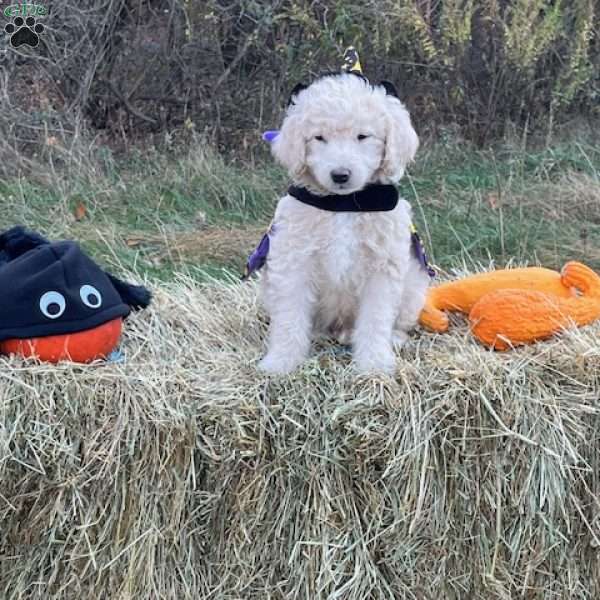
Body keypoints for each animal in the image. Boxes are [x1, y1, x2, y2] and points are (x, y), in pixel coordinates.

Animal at [260, 71, 428, 376]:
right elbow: (290, 317)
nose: (340, 175)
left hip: (414, 287)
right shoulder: (294, 263)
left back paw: (392, 339)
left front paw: (374, 364)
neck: (344, 204)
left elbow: (375, 320)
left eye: (363, 136)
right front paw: (280, 362)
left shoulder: (382, 268)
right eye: (319, 138)